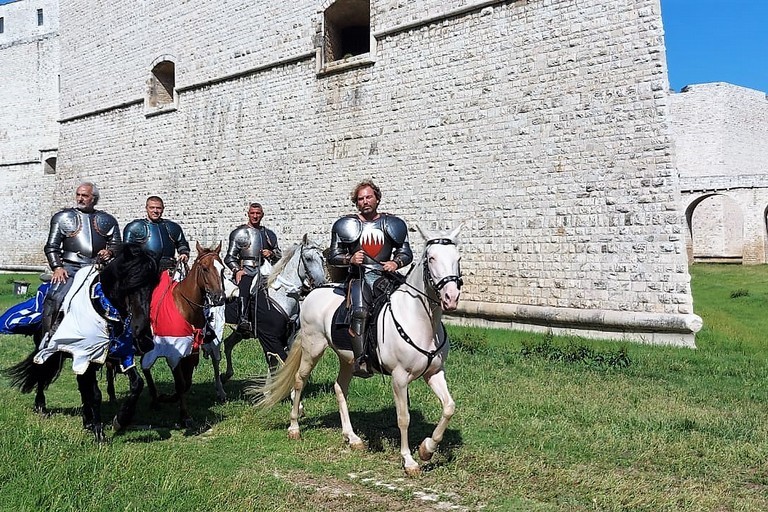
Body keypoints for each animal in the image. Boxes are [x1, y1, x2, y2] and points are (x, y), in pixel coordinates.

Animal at [142, 242, 225, 426]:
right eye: (204, 268)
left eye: (222, 269)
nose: (219, 298)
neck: (185, 306)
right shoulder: (173, 353)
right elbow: (180, 383)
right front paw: (185, 415)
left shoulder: (191, 351)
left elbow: (186, 382)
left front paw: (171, 399)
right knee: (144, 368)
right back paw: (153, 399)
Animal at [210, 236, 328, 400]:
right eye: (309, 258)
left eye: (322, 258)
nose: (321, 283)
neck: (281, 294)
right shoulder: (268, 337)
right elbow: (279, 360)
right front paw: (285, 394)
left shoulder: (287, 337)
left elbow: (277, 362)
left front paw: (270, 391)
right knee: (215, 356)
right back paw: (220, 390)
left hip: (240, 332)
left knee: (228, 344)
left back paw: (225, 376)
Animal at [254, 226, 462, 474]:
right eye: (431, 258)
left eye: (458, 258)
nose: (451, 297)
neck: (420, 320)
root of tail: (313, 293)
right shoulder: (399, 378)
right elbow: (403, 418)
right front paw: (409, 460)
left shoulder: (435, 373)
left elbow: (449, 407)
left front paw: (427, 449)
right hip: (313, 348)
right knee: (299, 380)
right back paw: (294, 427)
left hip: (347, 360)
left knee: (339, 388)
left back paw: (352, 437)